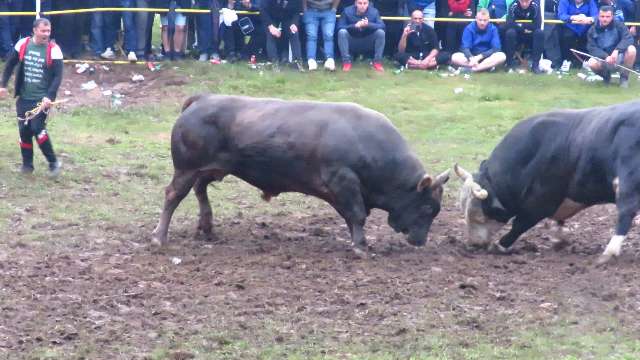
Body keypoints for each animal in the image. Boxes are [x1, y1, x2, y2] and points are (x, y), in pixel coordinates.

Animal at [152, 94, 450, 252]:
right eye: (427, 207)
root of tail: (203, 99)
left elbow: (351, 216)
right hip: (186, 169)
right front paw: (360, 245)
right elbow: (357, 215)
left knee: (200, 190)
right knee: (173, 195)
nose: (420, 241)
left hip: (209, 169)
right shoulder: (343, 181)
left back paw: (206, 226)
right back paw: (159, 236)